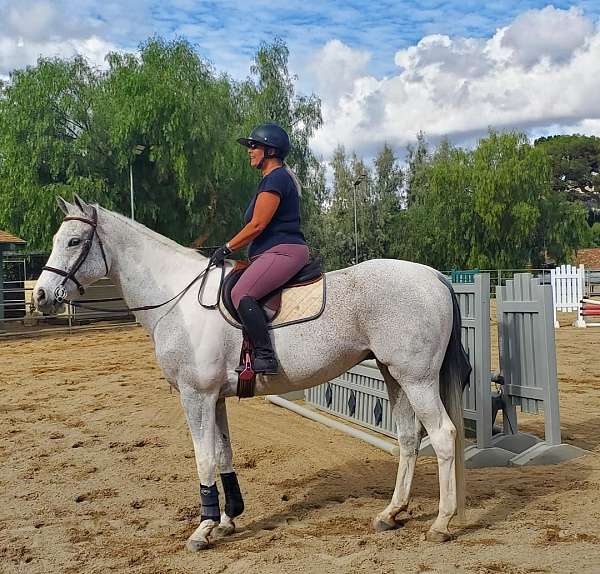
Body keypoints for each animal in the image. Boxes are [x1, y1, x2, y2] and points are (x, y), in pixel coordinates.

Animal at [32, 198, 472, 552]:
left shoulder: (196, 396)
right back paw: (392, 512)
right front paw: (228, 519)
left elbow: (204, 457)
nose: (39, 296)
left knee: (443, 436)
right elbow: (224, 453)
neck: (179, 299)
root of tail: (433, 275)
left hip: (416, 379)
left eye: (74, 242)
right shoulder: (215, 397)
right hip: (394, 375)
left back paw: (441, 523)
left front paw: (203, 528)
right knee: (409, 439)